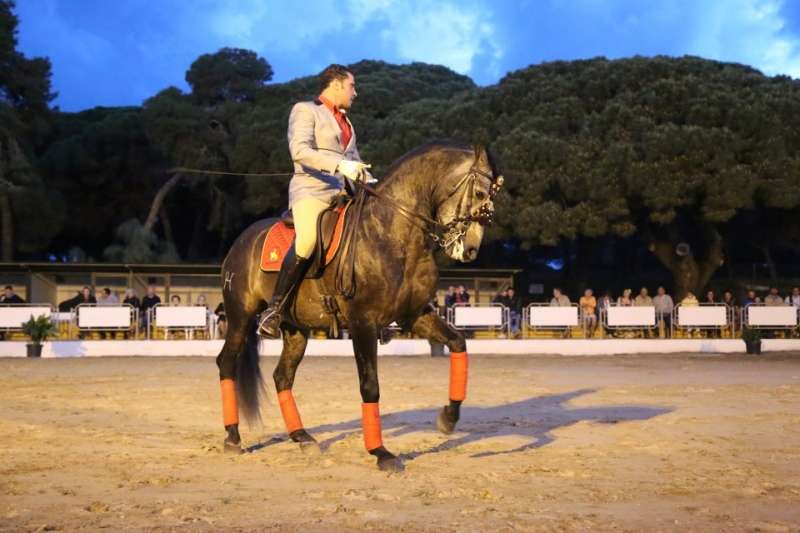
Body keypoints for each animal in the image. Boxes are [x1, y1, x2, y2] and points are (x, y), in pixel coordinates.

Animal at [216, 140, 502, 471]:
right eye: (480, 193)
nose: (470, 250)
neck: (393, 232)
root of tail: (242, 240)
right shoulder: (362, 322)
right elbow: (370, 385)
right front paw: (380, 452)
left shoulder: (415, 315)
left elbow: (458, 344)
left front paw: (449, 417)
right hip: (240, 317)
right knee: (227, 363)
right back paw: (232, 437)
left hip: (296, 329)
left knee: (282, 376)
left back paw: (303, 438)